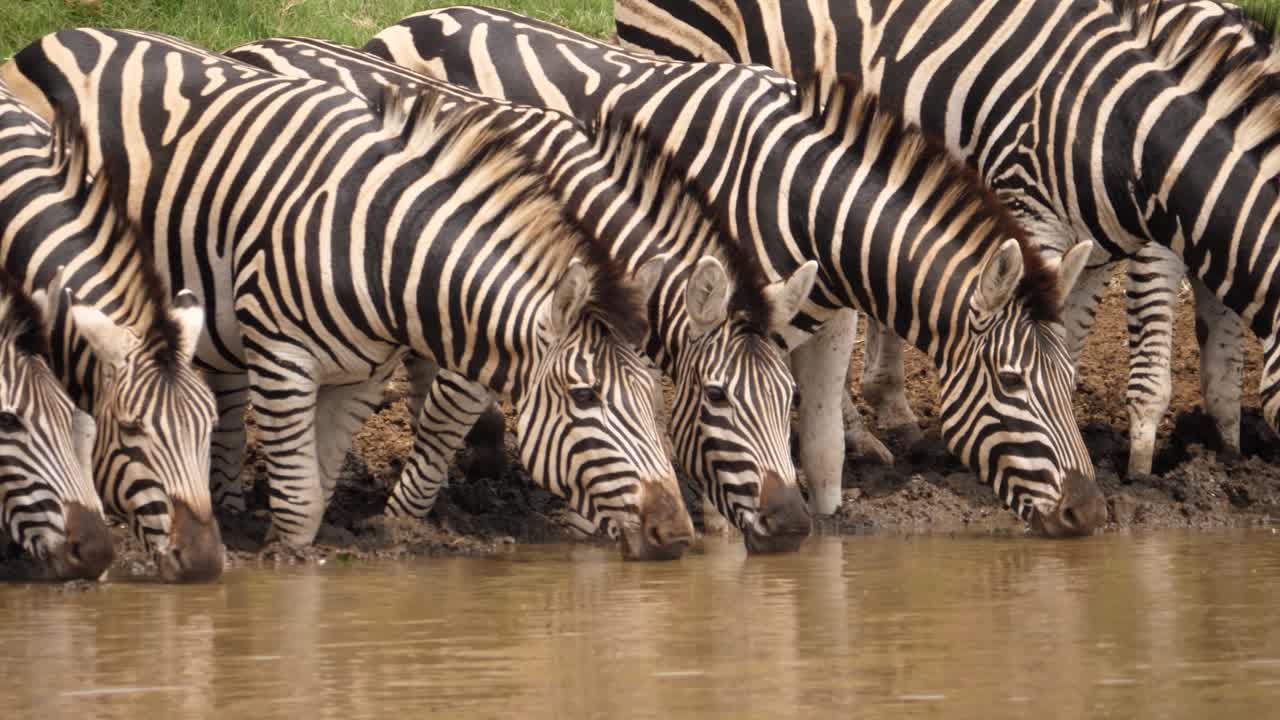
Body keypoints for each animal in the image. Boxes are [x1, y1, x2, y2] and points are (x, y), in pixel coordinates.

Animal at [223, 36, 818, 551]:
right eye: (718, 396)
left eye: (790, 395)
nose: (793, 525)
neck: (581, 209)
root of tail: (253, 44)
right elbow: (443, 423)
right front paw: (401, 522)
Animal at [366, 9, 1108, 536]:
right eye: (1011, 382)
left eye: (1071, 380)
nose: (1088, 516)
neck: (806, 204)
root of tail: (410, 21)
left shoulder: (828, 320)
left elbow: (821, 450)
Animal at [612, 0, 1280, 475]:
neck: (1123, 129)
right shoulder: (1037, 208)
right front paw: (1140, 460)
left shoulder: (1100, 243)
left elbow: (1207, 336)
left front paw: (1223, 453)